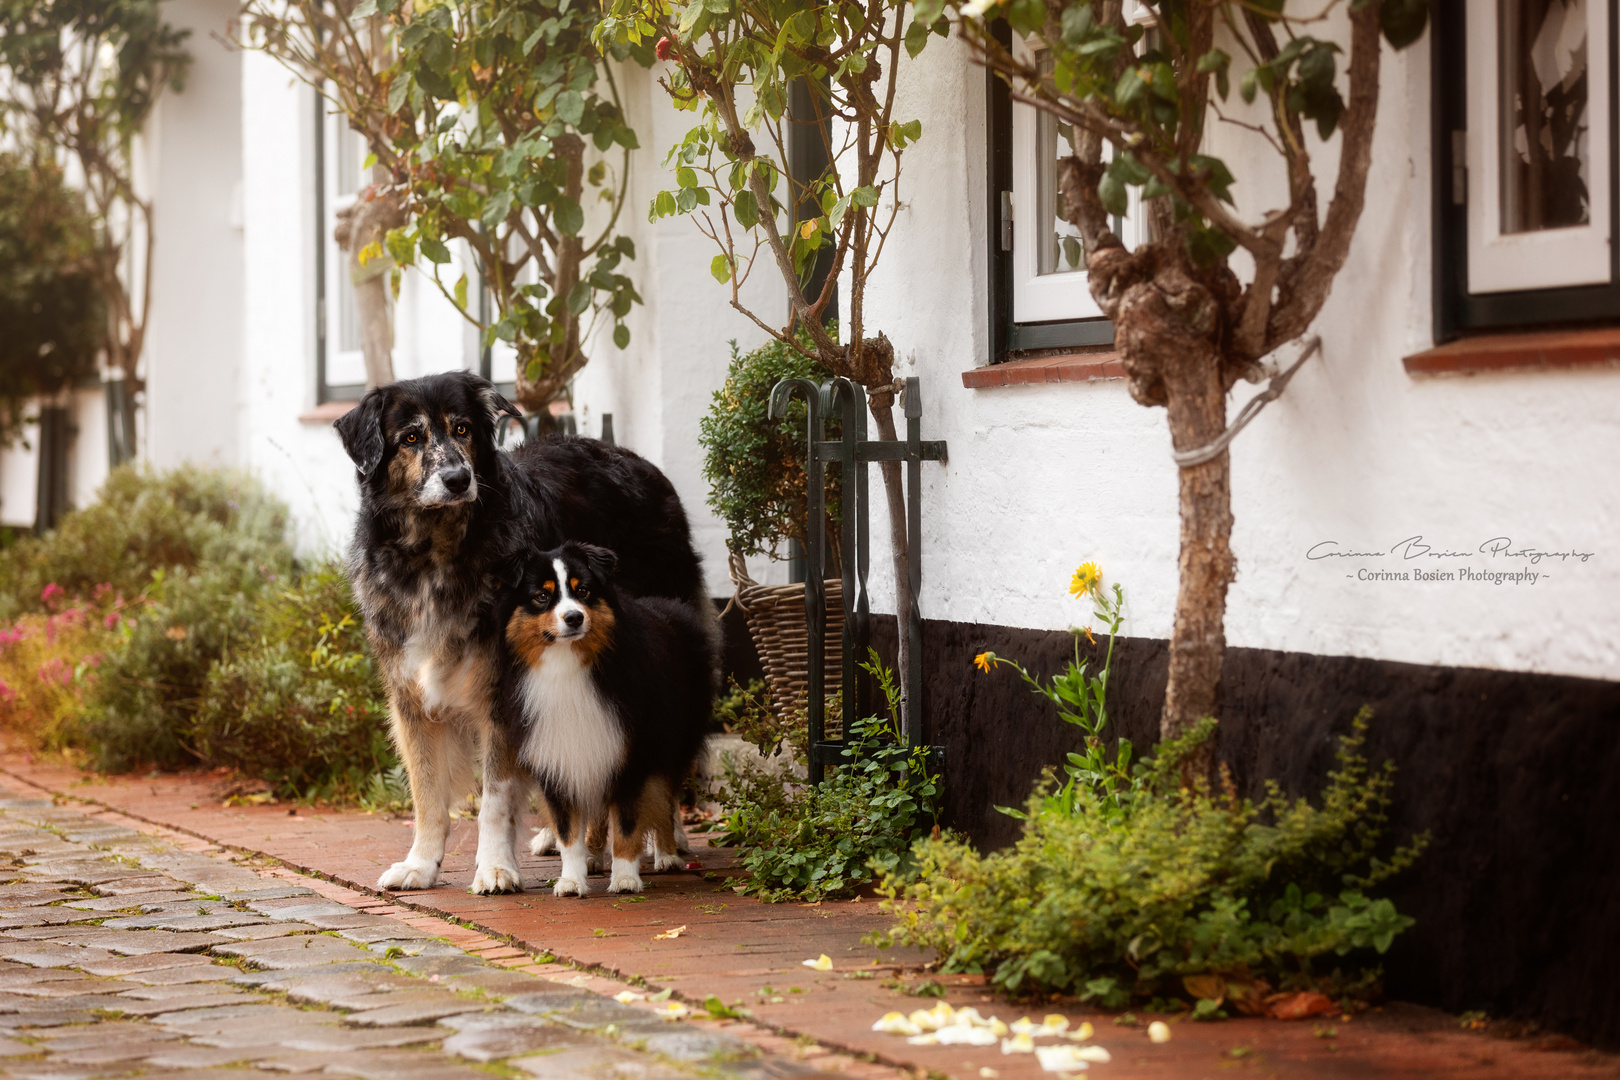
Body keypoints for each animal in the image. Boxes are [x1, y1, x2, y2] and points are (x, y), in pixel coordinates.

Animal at [498, 540, 716, 893]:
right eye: (541, 596)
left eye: (583, 590)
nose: (574, 617)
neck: (568, 664)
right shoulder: (557, 756)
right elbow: (568, 831)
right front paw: (573, 879)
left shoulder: (632, 754)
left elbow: (627, 825)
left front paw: (626, 878)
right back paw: (594, 856)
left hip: (672, 741)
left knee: (666, 800)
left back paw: (667, 855)